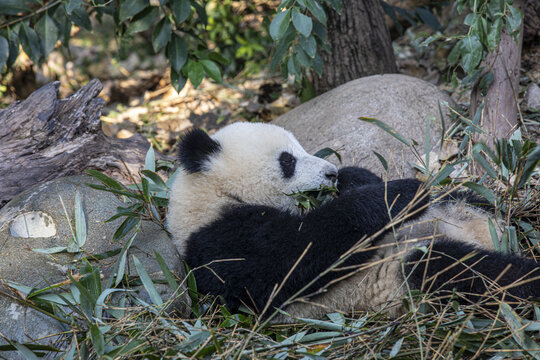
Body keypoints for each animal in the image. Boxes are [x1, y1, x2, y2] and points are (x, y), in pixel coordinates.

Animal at [169, 122, 540, 322]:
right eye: (287, 160)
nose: (330, 172)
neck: (212, 196)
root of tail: (492, 235)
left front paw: (353, 177)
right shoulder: (221, 240)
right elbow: (293, 259)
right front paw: (402, 193)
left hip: (461, 207)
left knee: (470, 202)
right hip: (400, 274)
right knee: (468, 273)